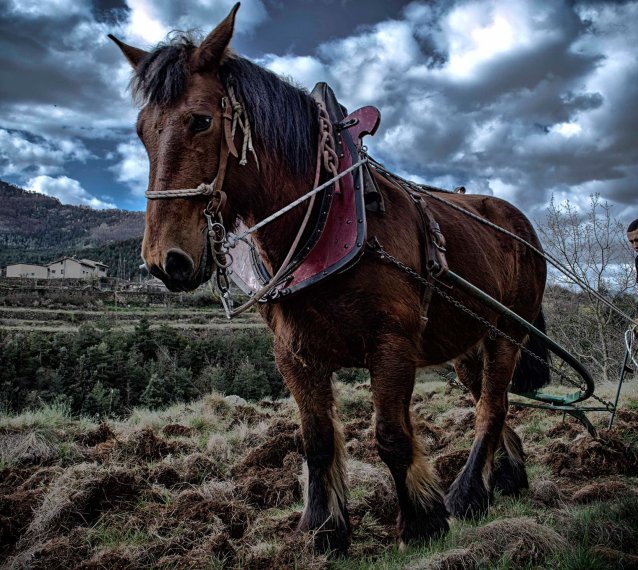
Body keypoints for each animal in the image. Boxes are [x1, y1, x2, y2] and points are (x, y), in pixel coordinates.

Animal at [110, 4, 552, 552]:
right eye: (141, 131)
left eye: (201, 120)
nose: (163, 261)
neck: (321, 215)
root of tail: (518, 222)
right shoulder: (294, 351)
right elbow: (316, 440)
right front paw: (323, 528)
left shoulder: (391, 342)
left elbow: (391, 435)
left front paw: (422, 521)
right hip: (469, 344)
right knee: (495, 400)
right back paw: (507, 478)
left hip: (509, 331)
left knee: (491, 406)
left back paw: (468, 493)